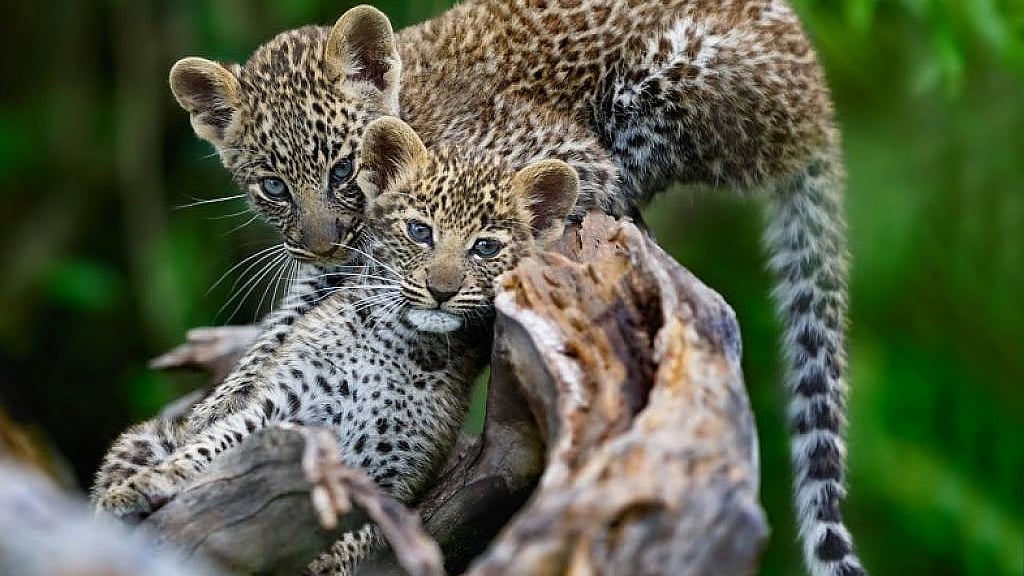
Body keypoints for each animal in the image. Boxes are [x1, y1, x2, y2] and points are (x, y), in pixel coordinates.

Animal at [92, 116, 579, 575]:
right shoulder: (280, 405)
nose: (441, 290)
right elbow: (212, 445)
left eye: (485, 248)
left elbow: (365, 530)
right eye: (420, 231)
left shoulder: (396, 471)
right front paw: (141, 487)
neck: (399, 345)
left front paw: (324, 560)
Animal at [167, 3, 862, 575]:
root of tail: (821, 103)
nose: (321, 242)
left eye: (342, 168)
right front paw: (205, 418)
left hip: (669, 75)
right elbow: (280, 334)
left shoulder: (570, 154)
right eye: (273, 187)